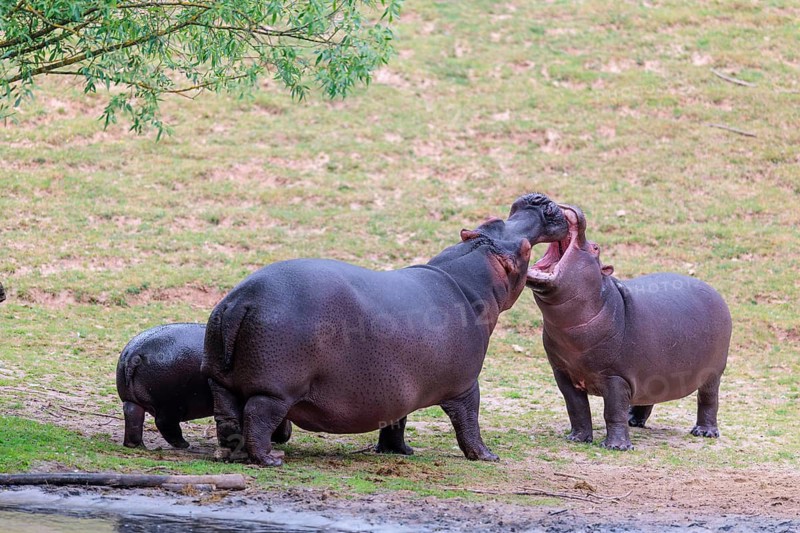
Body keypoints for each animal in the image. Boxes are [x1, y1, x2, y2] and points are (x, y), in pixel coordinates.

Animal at [116, 323, 293, 449]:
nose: (287, 435)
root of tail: (134, 353)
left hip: (133, 400)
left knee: (133, 415)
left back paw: (137, 445)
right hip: (172, 404)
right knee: (165, 423)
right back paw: (184, 445)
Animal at [202, 193, 568, 466]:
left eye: (491, 222)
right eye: (524, 249)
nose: (540, 202)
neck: (468, 282)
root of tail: (241, 301)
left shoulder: (397, 387)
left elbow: (396, 419)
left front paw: (401, 451)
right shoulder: (466, 384)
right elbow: (469, 420)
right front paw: (487, 456)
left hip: (221, 380)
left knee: (229, 415)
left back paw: (232, 454)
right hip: (277, 388)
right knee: (258, 415)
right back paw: (270, 459)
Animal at [527, 205, 731, 450]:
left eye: (596, 247)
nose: (568, 207)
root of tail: (715, 291)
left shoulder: (616, 377)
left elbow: (613, 411)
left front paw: (616, 446)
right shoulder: (562, 373)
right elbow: (576, 408)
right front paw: (577, 438)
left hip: (713, 374)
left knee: (708, 400)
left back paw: (704, 432)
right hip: (653, 371)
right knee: (649, 396)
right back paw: (634, 421)